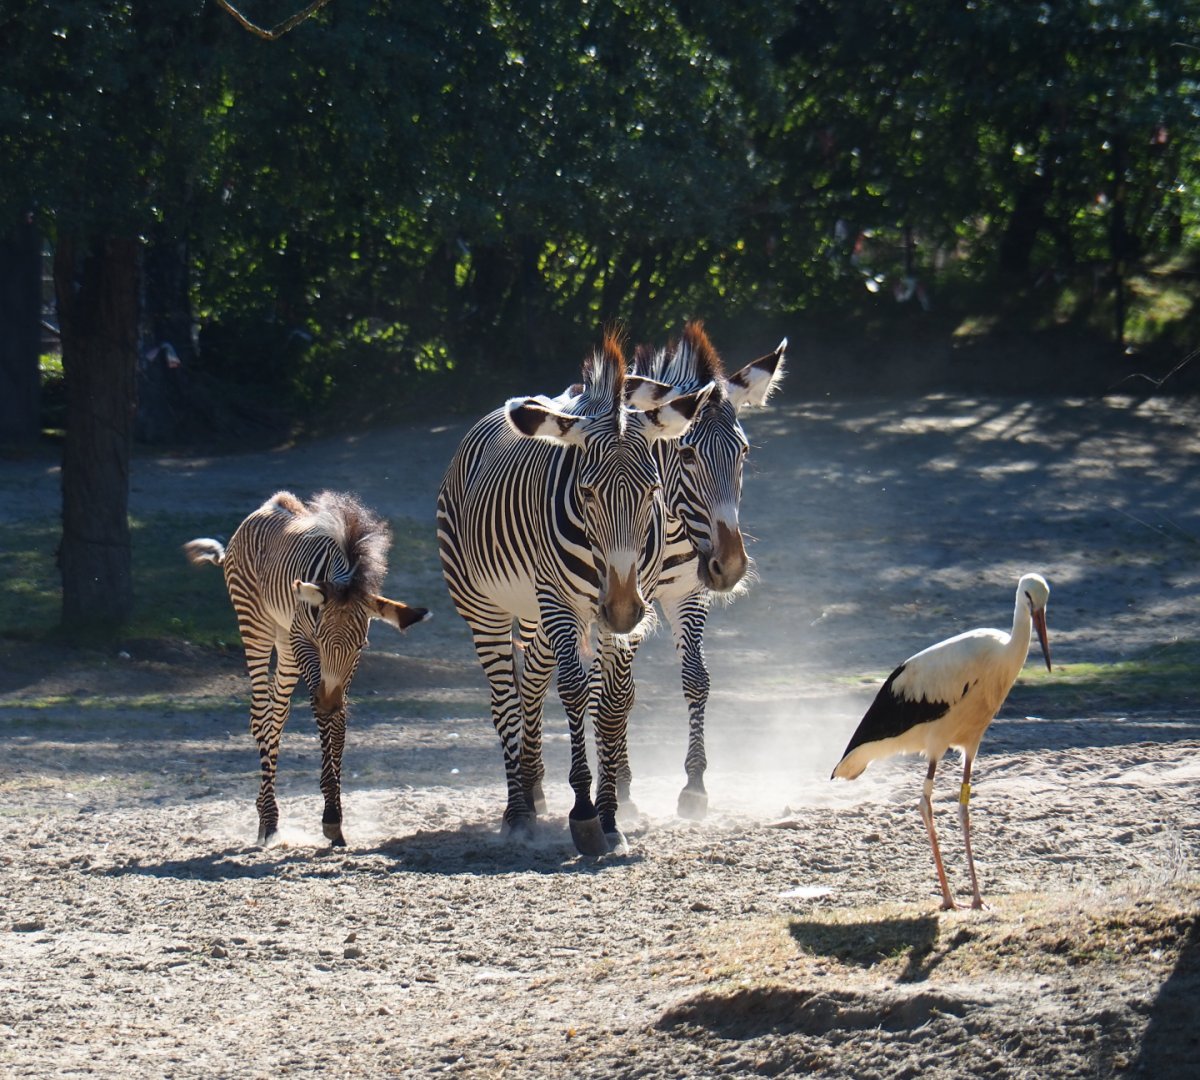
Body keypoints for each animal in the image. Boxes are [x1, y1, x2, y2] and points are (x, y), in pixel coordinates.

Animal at [184, 490, 430, 847]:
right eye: (321, 638)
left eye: (361, 646)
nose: (328, 700)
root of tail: (268, 506)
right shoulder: (305, 640)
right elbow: (323, 716)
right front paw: (330, 816)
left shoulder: (340, 669)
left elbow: (337, 722)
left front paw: (335, 814)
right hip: (256, 624)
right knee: (260, 713)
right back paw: (268, 821)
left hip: (285, 642)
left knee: (277, 713)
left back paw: (264, 809)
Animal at [436, 334, 712, 855]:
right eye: (586, 493)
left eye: (653, 492)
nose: (620, 608)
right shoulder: (560, 603)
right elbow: (574, 691)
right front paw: (583, 813)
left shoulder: (627, 604)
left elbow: (614, 702)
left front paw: (610, 815)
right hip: (486, 609)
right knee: (503, 700)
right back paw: (519, 812)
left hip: (536, 613)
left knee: (529, 681)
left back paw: (533, 790)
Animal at [516, 323, 786, 820]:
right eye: (687, 452)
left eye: (743, 452)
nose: (730, 567)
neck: (678, 530)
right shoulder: (626, 601)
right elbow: (619, 691)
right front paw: (618, 791)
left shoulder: (684, 594)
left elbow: (693, 679)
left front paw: (693, 785)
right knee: (538, 670)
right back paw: (537, 787)